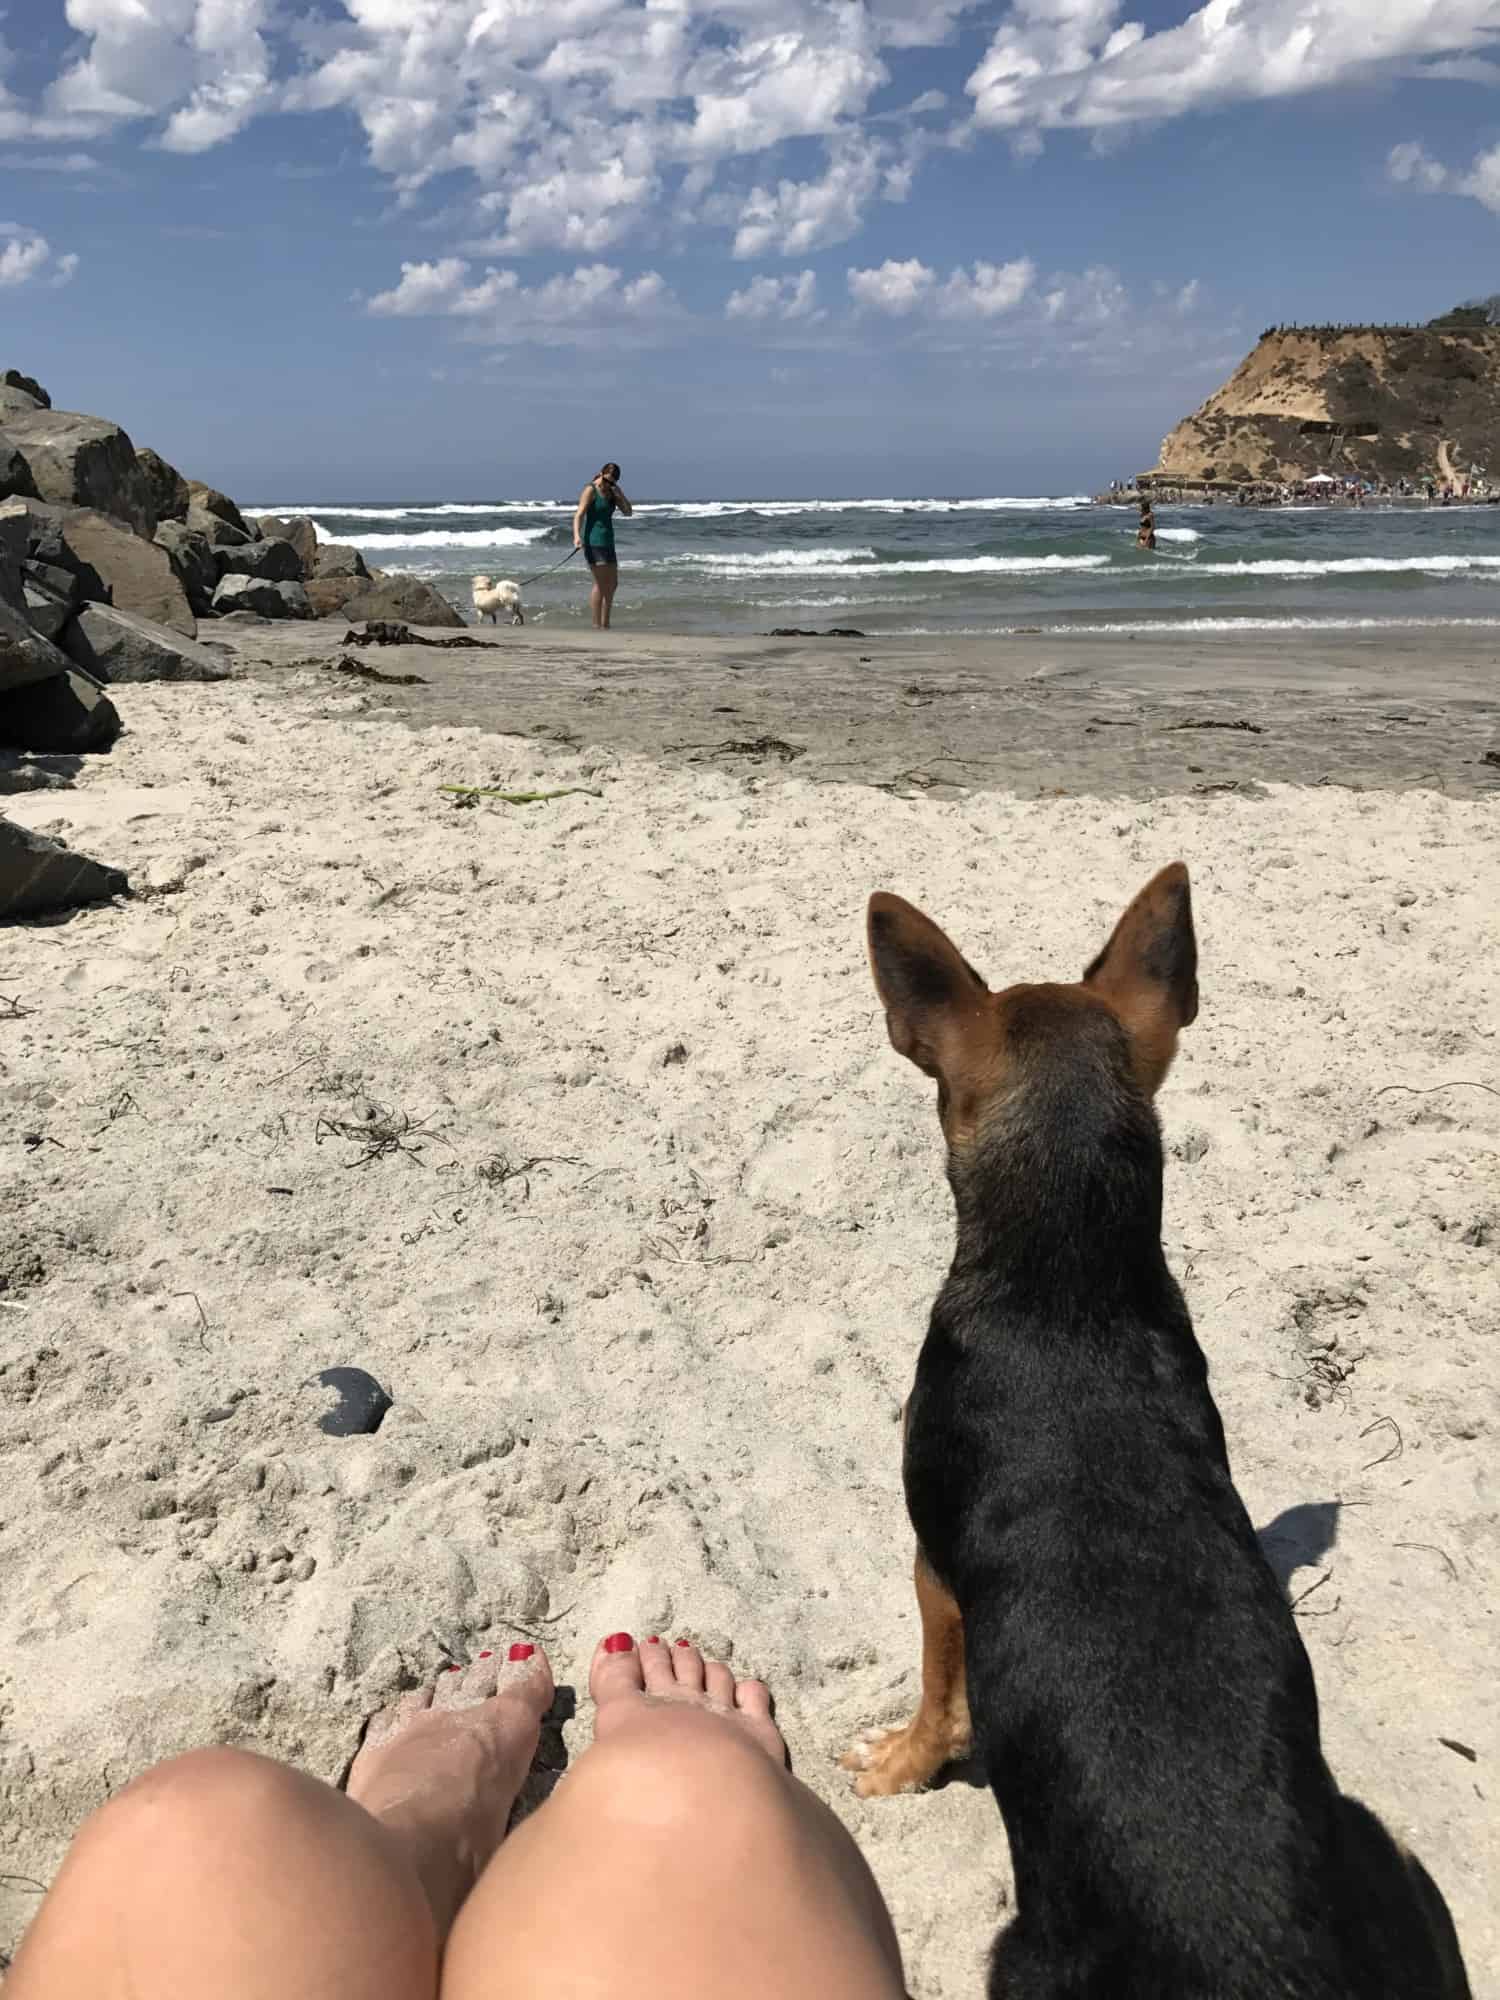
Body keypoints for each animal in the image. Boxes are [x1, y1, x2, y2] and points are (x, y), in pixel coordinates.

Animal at [852, 872, 1472, 2000]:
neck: (1068, 1287)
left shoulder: (933, 1566)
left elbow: (939, 1697)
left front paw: (902, 1764)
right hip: (1390, 1855)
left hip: (1019, 1959)